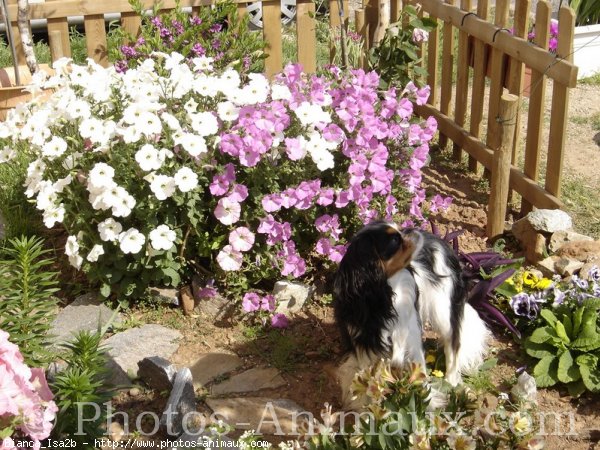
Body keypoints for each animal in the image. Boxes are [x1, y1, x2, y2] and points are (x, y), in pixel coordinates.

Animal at [336, 221, 490, 408]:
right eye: (395, 240)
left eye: (400, 231)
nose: (414, 230)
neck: (387, 294)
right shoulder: (365, 348)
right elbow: (367, 383)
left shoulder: (411, 341)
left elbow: (420, 375)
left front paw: (425, 405)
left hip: (443, 313)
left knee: (453, 346)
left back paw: (451, 383)